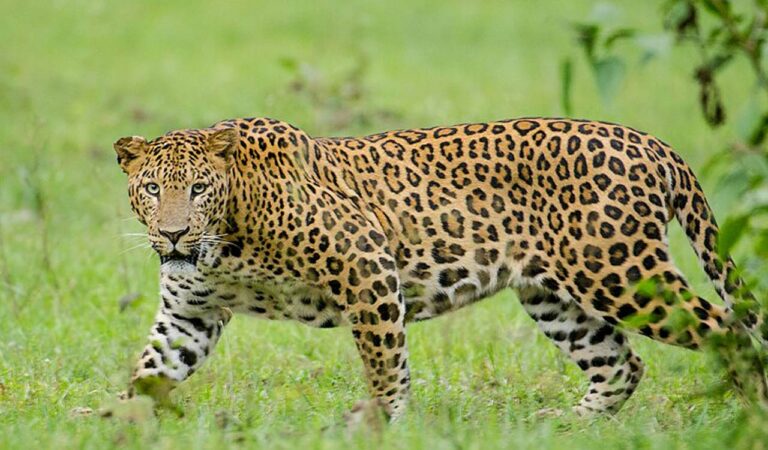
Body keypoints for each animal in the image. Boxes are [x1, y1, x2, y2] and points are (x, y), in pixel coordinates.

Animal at [114, 117, 768, 421]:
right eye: (152, 188)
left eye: (199, 189)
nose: (173, 234)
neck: (224, 242)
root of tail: (650, 142)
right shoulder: (190, 313)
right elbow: (151, 370)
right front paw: (113, 422)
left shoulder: (366, 263)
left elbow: (385, 361)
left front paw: (380, 423)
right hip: (554, 296)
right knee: (621, 364)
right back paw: (567, 426)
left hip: (620, 273)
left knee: (728, 332)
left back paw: (751, 415)